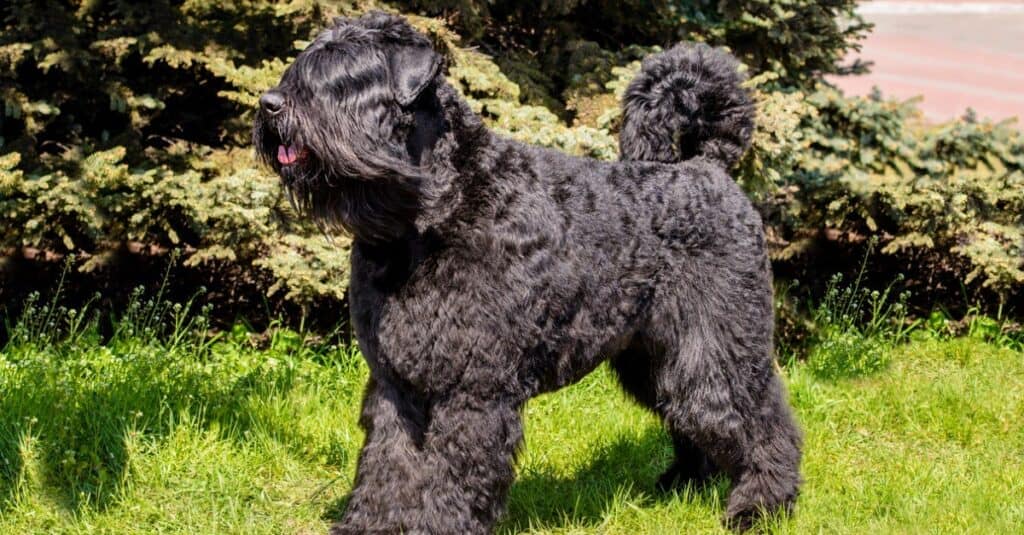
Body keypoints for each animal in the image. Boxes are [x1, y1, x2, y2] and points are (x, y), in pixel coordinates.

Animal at [253, 10, 798, 528]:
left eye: (349, 73)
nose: (269, 103)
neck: (429, 214)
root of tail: (708, 167)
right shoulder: (396, 383)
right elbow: (389, 466)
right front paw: (374, 525)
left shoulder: (473, 387)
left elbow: (449, 472)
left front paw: (438, 523)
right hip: (656, 358)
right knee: (690, 416)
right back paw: (680, 485)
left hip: (717, 345)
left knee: (760, 420)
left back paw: (760, 508)